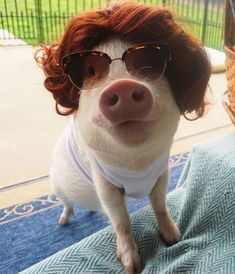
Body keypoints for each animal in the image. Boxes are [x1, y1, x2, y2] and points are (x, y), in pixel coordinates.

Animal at [36, 2, 211, 274]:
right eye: (90, 70)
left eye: (149, 64)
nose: (123, 86)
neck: (136, 163)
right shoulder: (104, 184)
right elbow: (121, 220)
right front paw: (131, 266)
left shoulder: (162, 172)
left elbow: (159, 204)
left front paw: (175, 238)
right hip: (56, 185)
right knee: (67, 204)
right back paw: (62, 222)